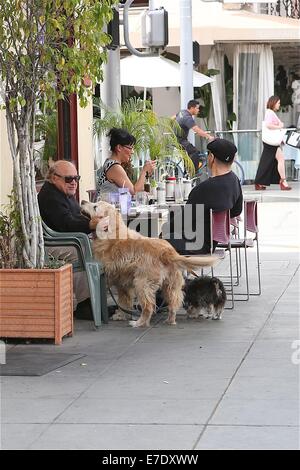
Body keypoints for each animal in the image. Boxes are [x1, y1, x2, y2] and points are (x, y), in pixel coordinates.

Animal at [79, 199, 216, 326]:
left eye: (95, 206)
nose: (82, 201)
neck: (111, 232)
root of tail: (167, 251)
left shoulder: (116, 280)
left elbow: (123, 302)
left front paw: (121, 315)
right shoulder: (122, 284)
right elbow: (124, 302)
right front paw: (121, 315)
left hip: (141, 284)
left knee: (148, 307)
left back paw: (139, 323)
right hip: (170, 285)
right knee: (173, 304)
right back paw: (170, 320)